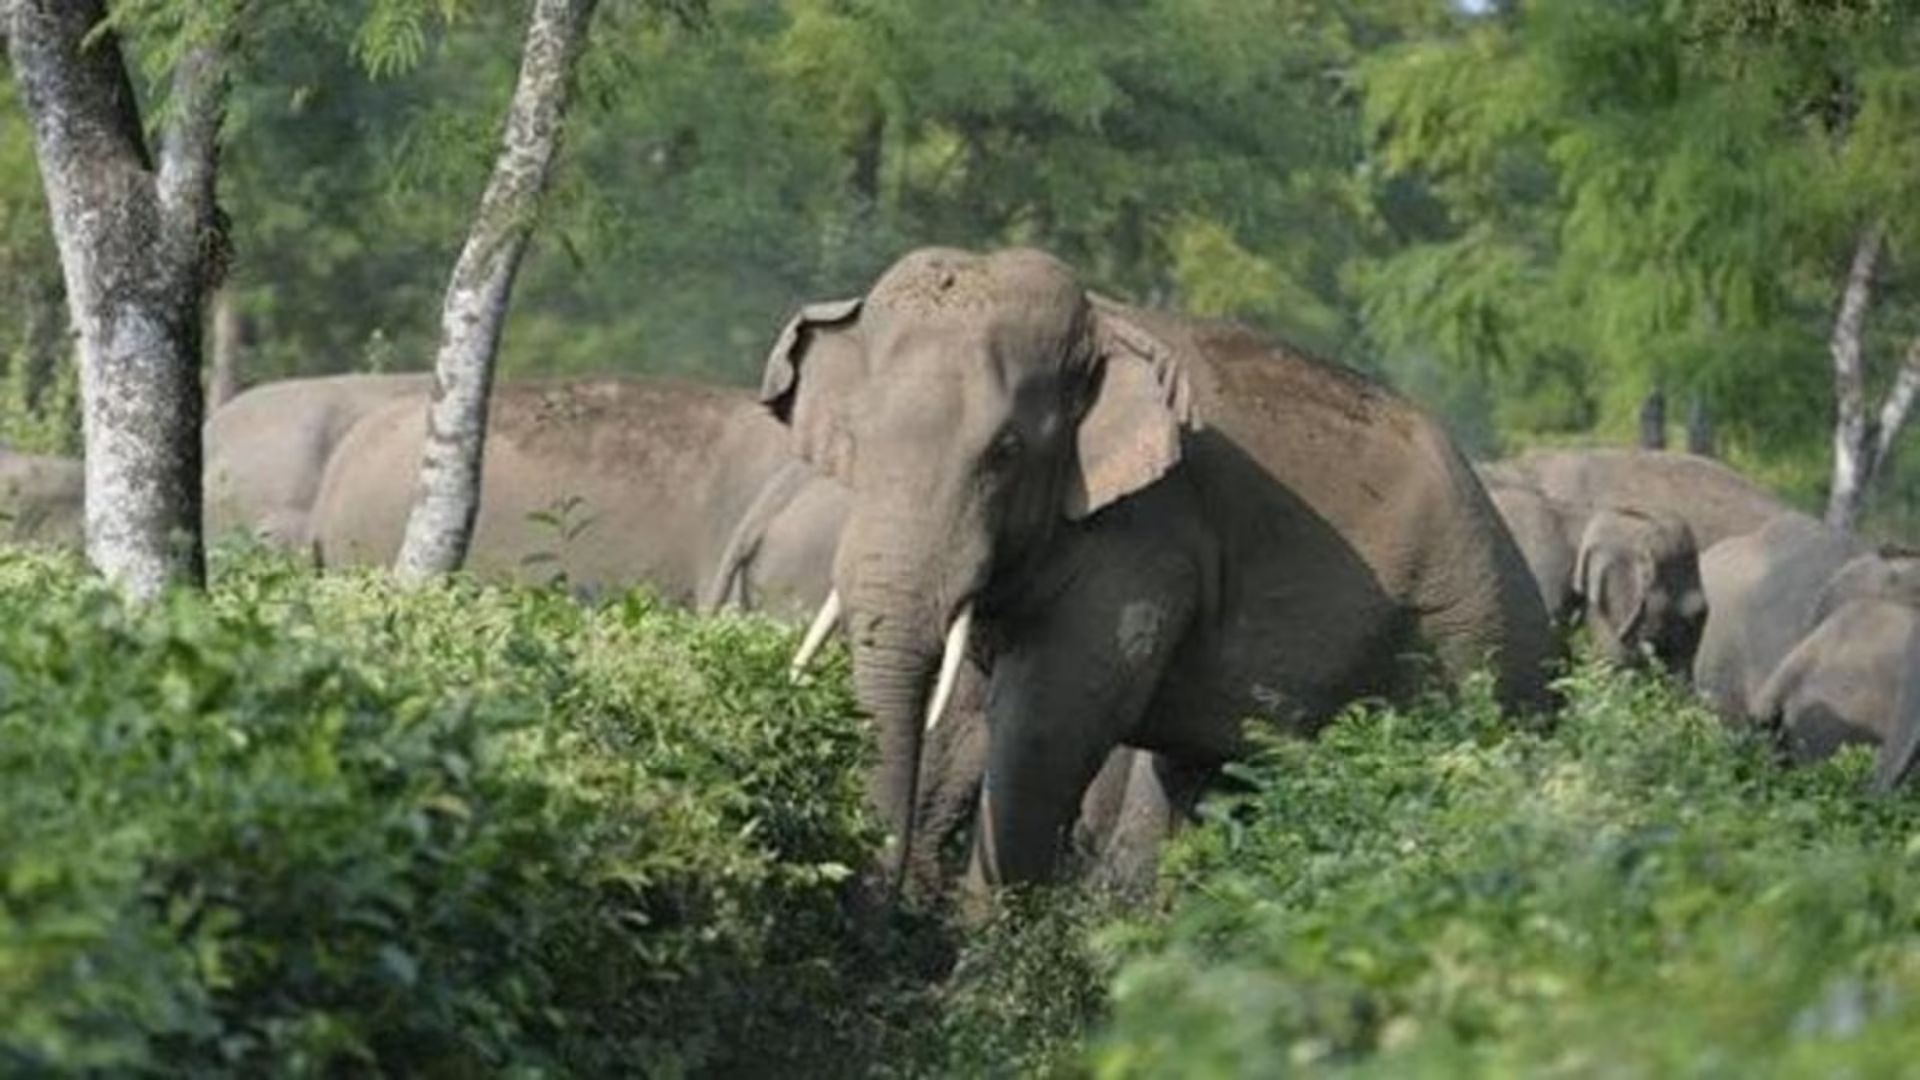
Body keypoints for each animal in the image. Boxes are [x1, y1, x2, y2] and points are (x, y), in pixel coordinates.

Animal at [756, 244, 1551, 883]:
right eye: (856, 437)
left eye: (1006, 452)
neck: (1102, 326)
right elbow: (969, 719)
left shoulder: (1146, 537)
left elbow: (1045, 728)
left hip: (1469, 648)